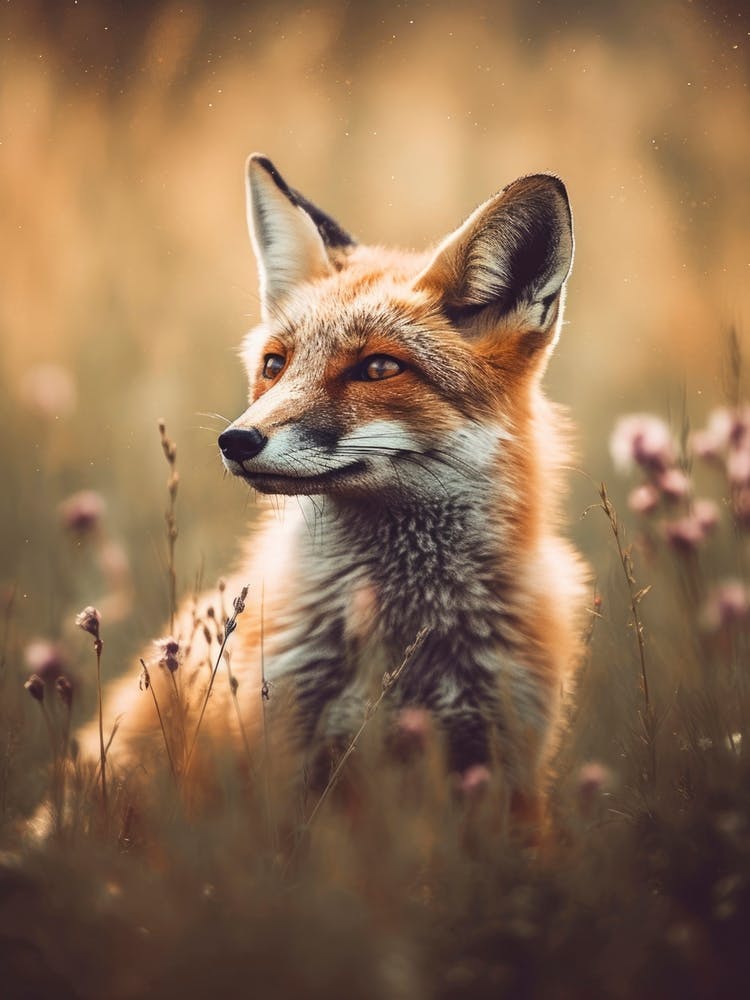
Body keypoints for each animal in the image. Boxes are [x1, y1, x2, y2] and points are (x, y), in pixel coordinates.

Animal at [74, 154, 588, 827]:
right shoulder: (284, 758)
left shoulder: (507, 765)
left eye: (378, 368)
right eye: (275, 365)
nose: (235, 441)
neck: (404, 638)